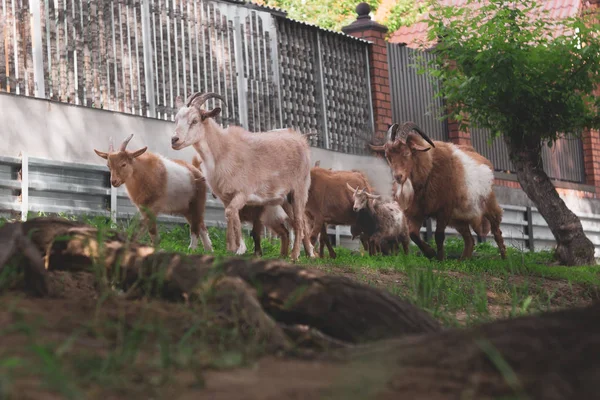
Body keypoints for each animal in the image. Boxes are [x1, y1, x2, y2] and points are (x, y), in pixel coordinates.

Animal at [170, 92, 314, 260]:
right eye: (176, 119)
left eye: (195, 120)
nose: (174, 140)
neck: (222, 150)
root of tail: (301, 140)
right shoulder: (226, 197)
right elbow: (230, 215)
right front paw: (231, 247)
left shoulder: (243, 192)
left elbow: (231, 213)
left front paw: (240, 248)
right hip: (285, 198)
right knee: (298, 221)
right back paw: (309, 253)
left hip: (299, 189)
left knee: (298, 221)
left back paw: (295, 255)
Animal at [370, 121, 506, 260]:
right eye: (388, 156)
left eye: (407, 153)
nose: (398, 177)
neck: (429, 169)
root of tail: (486, 162)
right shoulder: (417, 212)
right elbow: (413, 234)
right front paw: (430, 253)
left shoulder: (444, 209)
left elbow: (439, 235)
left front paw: (440, 258)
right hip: (458, 219)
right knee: (469, 240)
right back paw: (463, 261)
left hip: (488, 206)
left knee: (497, 232)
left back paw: (504, 258)